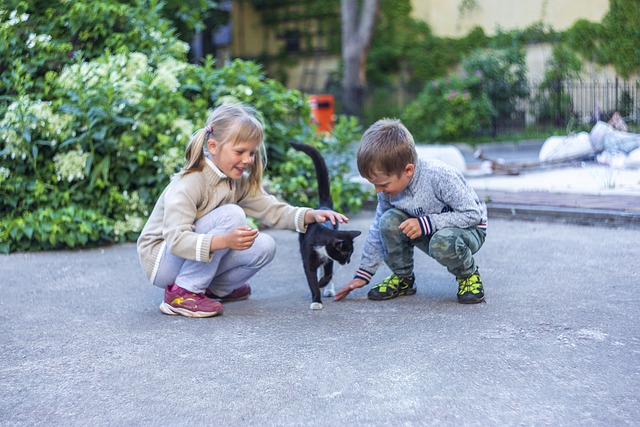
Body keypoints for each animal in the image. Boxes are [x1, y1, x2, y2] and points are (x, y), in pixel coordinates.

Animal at [290, 142, 360, 310]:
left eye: (351, 254)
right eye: (347, 253)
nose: (348, 261)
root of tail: (323, 207)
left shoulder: (329, 259)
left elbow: (328, 274)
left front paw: (323, 284)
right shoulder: (308, 258)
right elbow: (311, 278)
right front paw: (316, 299)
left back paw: (328, 289)